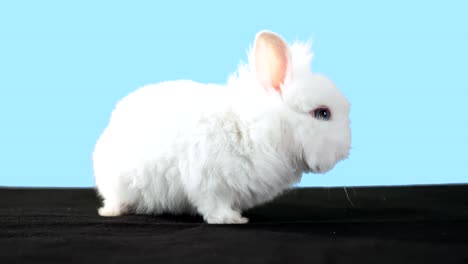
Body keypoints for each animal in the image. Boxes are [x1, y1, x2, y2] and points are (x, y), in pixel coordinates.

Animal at [92, 29, 352, 224]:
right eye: (322, 113)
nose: (346, 149)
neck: (256, 130)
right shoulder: (208, 182)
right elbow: (214, 205)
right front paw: (232, 219)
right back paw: (113, 211)